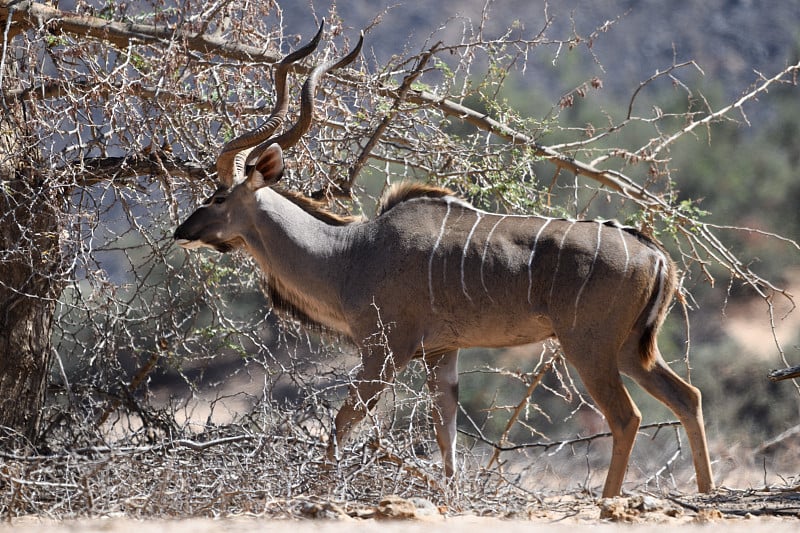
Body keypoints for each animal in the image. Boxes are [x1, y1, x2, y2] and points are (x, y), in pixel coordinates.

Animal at [173, 23, 712, 498]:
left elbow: (344, 421)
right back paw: (707, 494)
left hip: (589, 346)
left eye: (219, 197)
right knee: (688, 396)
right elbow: (445, 431)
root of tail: (654, 253)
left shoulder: (385, 350)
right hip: (629, 349)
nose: (183, 231)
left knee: (627, 417)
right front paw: (451, 495)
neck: (350, 254)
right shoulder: (441, 352)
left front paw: (318, 491)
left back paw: (609, 502)